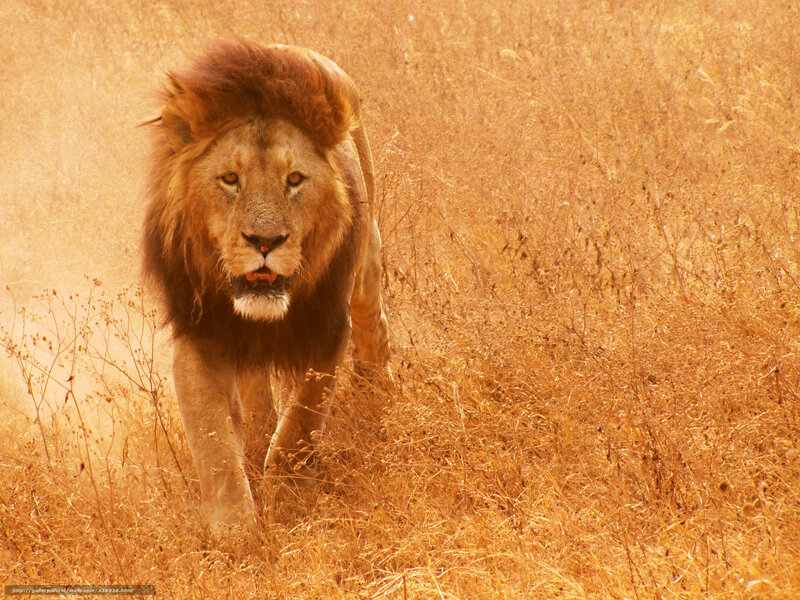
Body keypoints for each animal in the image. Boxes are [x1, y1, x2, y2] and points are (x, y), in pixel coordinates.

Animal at [142, 40, 391, 527]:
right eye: (229, 179)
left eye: (294, 179)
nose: (264, 241)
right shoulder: (198, 335)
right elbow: (214, 443)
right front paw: (235, 532)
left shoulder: (328, 329)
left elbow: (300, 424)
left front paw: (290, 502)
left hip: (367, 258)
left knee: (373, 319)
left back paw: (380, 392)